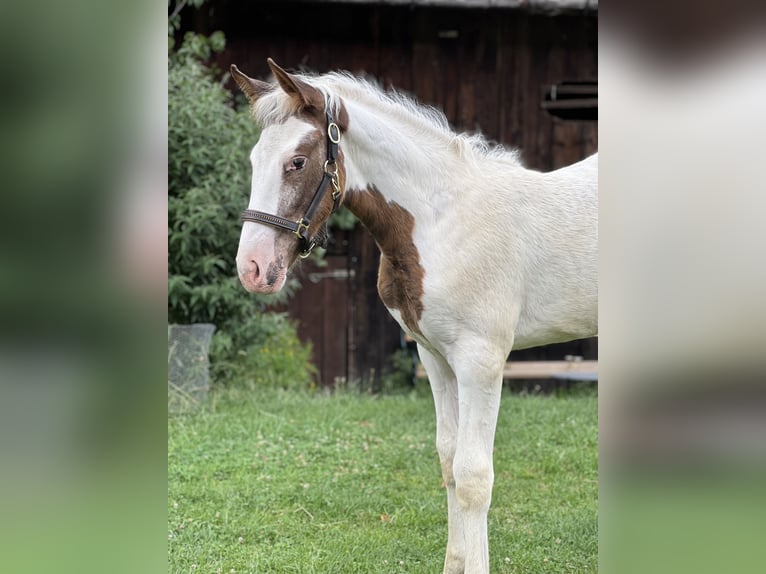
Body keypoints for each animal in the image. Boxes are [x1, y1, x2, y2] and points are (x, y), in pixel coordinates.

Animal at [231, 58, 597, 574]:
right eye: (253, 160)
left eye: (297, 162)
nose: (253, 267)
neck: (442, 222)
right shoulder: (435, 358)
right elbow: (448, 462)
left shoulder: (481, 361)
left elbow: (473, 476)